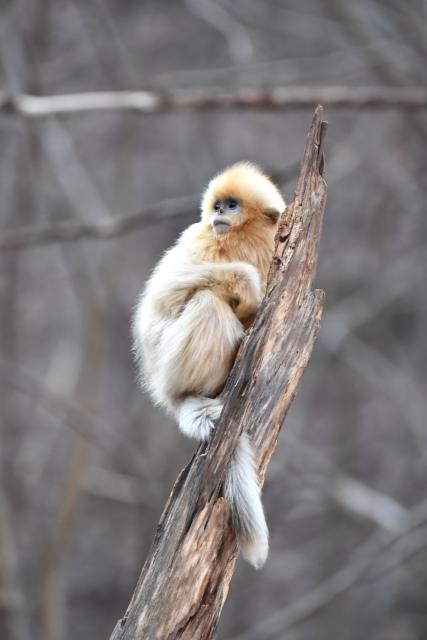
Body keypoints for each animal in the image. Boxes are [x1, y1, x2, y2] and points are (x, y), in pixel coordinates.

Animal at [132, 162, 285, 569]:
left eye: (231, 205)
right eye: (218, 206)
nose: (218, 214)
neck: (244, 238)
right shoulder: (200, 238)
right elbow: (162, 298)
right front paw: (248, 289)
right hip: (168, 367)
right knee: (205, 303)